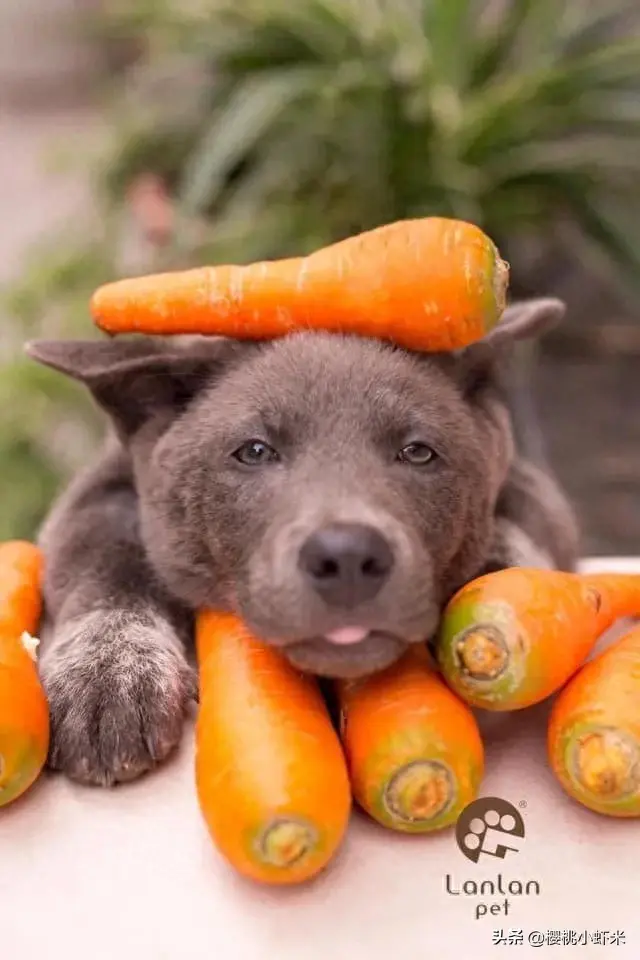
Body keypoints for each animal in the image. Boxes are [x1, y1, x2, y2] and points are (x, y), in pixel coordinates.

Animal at [26, 298, 580, 788]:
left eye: (418, 452)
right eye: (254, 451)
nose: (348, 557)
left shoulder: (526, 480)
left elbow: (522, 531)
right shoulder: (101, 490)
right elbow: (106, 563)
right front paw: (106, 678)